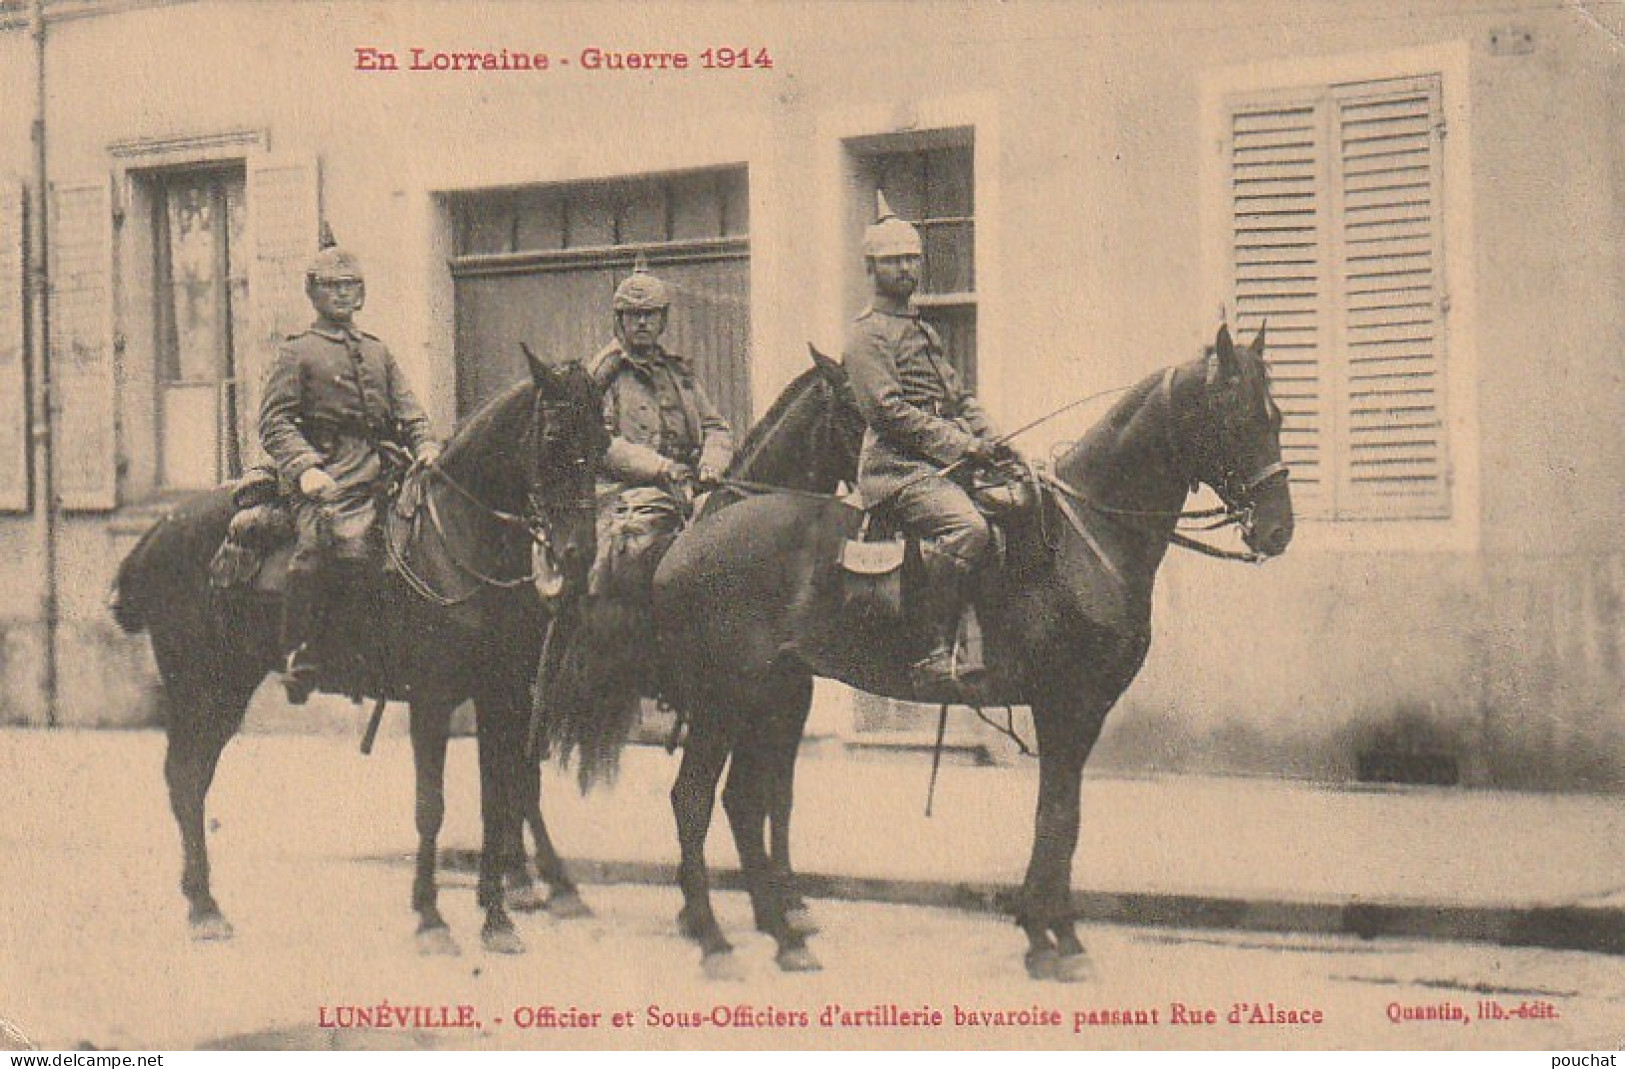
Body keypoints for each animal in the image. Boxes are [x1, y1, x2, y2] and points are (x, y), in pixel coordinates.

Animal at [114, 354, 607, 955]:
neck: (458, 541)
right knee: (186, 779)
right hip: (203, 687)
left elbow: (499, 801)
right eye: (555, 437)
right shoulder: (432, 701)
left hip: (223, 689)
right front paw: (431, 918)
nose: (578, 552)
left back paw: (203, 904)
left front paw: (497, 920)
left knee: (193, 777)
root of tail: (156, 532)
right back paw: (205, 909)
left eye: (603, 439)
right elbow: (431, 807)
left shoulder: (503, 698)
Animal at [559, 320, 1293, 981]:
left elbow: (1063, 816)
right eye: (1235, 417)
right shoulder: (1065, 704)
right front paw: (1053, 938)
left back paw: (784, 936)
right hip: (722, 698)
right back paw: (713, 939)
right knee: (692, 800)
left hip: (771, 695)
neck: (1086, 538)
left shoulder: (1082, 712)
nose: (1279, 530)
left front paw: (1047, 932)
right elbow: (1057, 816)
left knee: (745, 800)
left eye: (1276, 417)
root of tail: (688, 538)